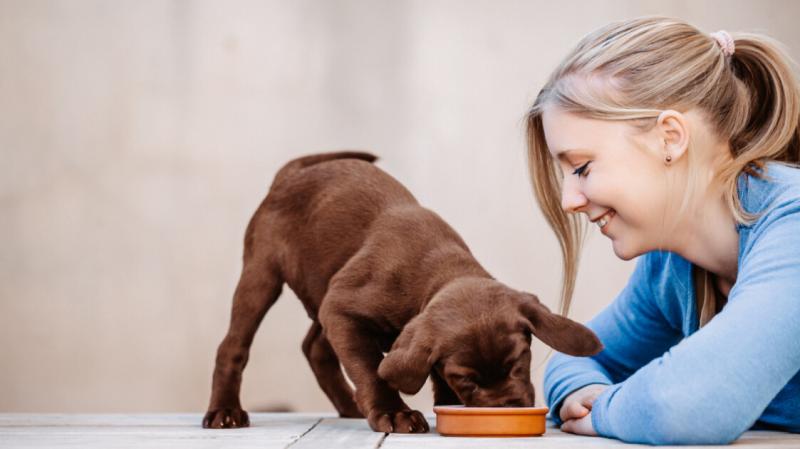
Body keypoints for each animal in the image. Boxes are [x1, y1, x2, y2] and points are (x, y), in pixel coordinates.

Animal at [200, 152, 600, 432]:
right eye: (467, 378)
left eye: (519, 362)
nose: (507, 408)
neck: (438, 270)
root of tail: (291, 173)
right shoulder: (343, 309)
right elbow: (371, 368)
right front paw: (394, 412)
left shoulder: (344, 310)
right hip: (262, 273)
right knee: (233, 345)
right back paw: (225, 411)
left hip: (322, 285)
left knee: (315, 347)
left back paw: (348, 406)